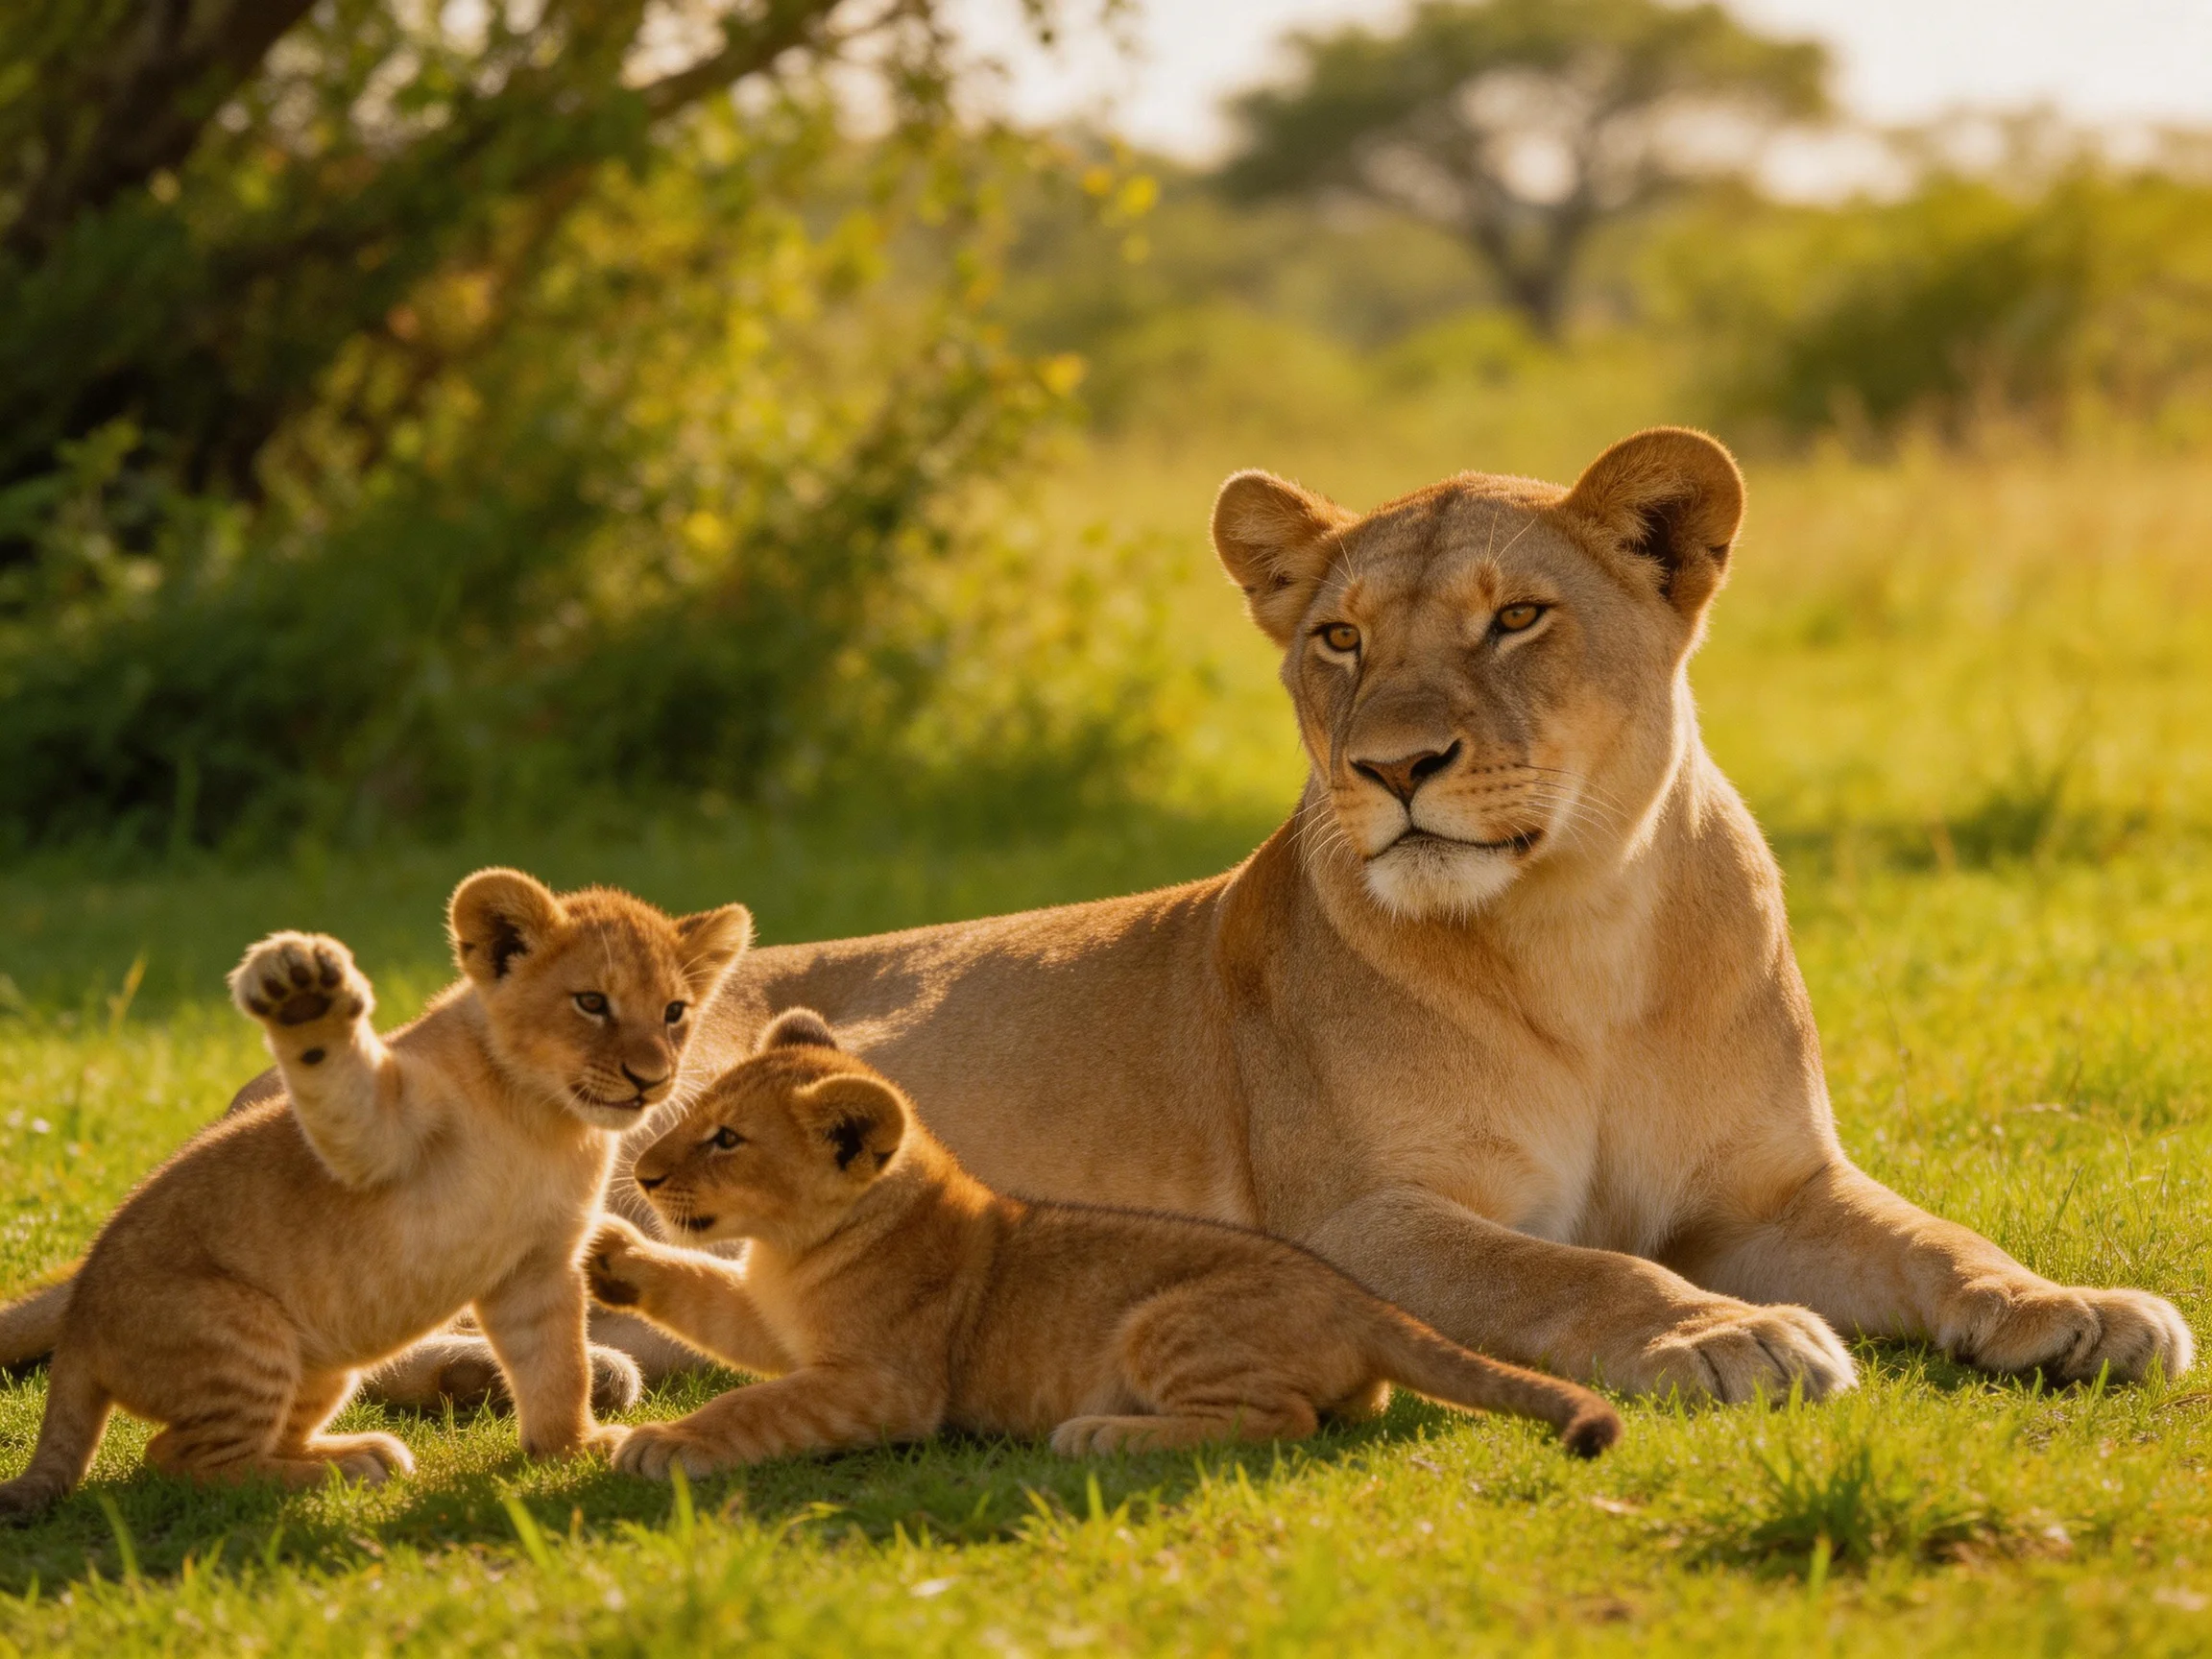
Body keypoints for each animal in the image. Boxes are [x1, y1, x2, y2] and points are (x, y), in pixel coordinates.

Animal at [577, 1009, 1619, 1478]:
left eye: (725, 1139)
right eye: (695, 1117)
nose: (649, 1176)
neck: (794, 1248)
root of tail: (1358, 1298)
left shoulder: (881, 1384)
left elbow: (754, 1407)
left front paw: (661, 1441)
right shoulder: (772, 1315)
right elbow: (706, 1296)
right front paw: (610, 1257)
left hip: (1164, 1322)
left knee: (1281, 1419)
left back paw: (1103, 1433)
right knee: (1343, 1409)